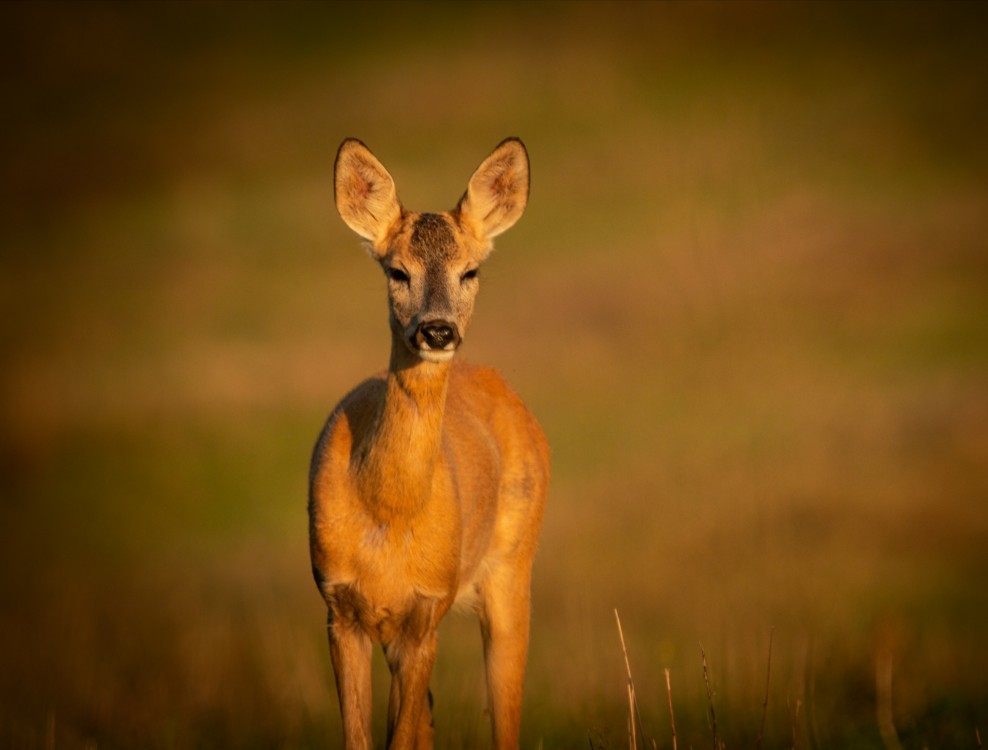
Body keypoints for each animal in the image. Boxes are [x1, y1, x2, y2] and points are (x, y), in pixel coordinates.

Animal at [308, 137, 552, 750]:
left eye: (471, 271)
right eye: (397, 271)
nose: (438, 330)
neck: (388, 516)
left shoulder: (426, 612)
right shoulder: (338, 608)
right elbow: (365, 738)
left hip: (513, 567)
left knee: (506, 720)